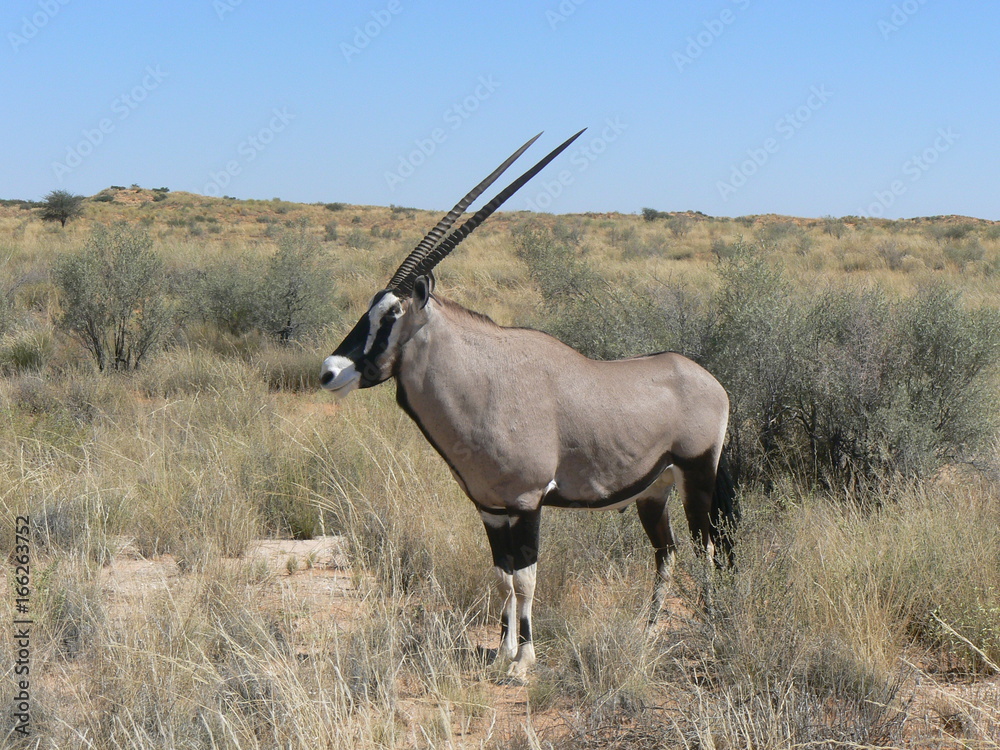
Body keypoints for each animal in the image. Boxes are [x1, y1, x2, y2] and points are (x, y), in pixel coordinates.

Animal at [320, 132, 737, 679]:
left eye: (390, 316)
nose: (330, 371)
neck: (486, 380)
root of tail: (712, 383)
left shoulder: (527, 501)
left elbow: (526, 578)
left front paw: (524, 661)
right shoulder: (491, 508)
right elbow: (502, 576)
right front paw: (501, 652)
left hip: (697, 476)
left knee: (705, 548)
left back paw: (711, 629)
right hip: (654, 491)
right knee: (665, 553)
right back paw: (648, 635)